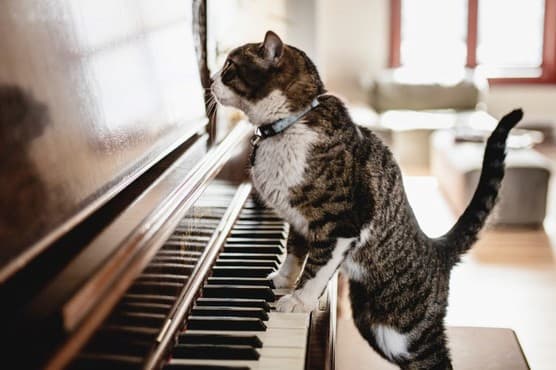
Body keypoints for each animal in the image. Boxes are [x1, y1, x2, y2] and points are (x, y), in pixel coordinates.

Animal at [211, 30, 524, 368]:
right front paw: (282, 279)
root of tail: (437, 249)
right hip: (376, 328)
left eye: (229, 66)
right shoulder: (297, 220)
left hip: (408, 334)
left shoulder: (340, 225)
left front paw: (299, 300)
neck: (287, 125)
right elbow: (294, 252)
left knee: (437, 361)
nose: (210, 79)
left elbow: (316, 268)